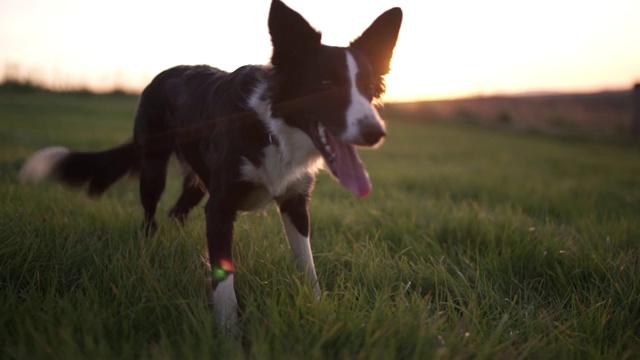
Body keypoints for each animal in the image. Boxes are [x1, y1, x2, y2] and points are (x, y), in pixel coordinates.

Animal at [20, 0, 402, 332]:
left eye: (369, 89)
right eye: (325, 85)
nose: (376, 132)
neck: (273, 129)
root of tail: (162, 74)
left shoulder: (294, 202)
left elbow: (307, 265)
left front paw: (320, 310)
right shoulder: (221, 205)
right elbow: (225, 281)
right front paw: (229, 335)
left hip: (198, 182)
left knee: (177, 212)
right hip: (154, 168)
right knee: (150, 215)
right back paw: (150, 250)